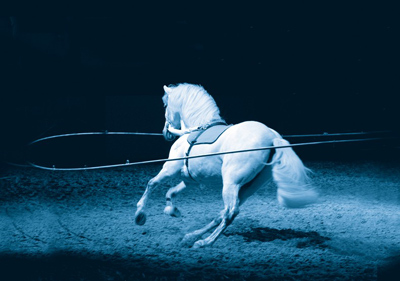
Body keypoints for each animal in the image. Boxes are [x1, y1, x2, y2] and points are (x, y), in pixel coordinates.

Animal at [136, 83, 318, 247]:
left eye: (166, 105)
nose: (165, 132)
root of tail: (272, 137)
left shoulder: (170, 169)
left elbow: (152, 183)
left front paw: (140, 215)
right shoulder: (190, 181)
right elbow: (171, 192)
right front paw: (172, 211)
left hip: (231, 183)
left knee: (231, 212)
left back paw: (204, 242)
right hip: (249, 187)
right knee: (222, 213)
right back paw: (191, 236)